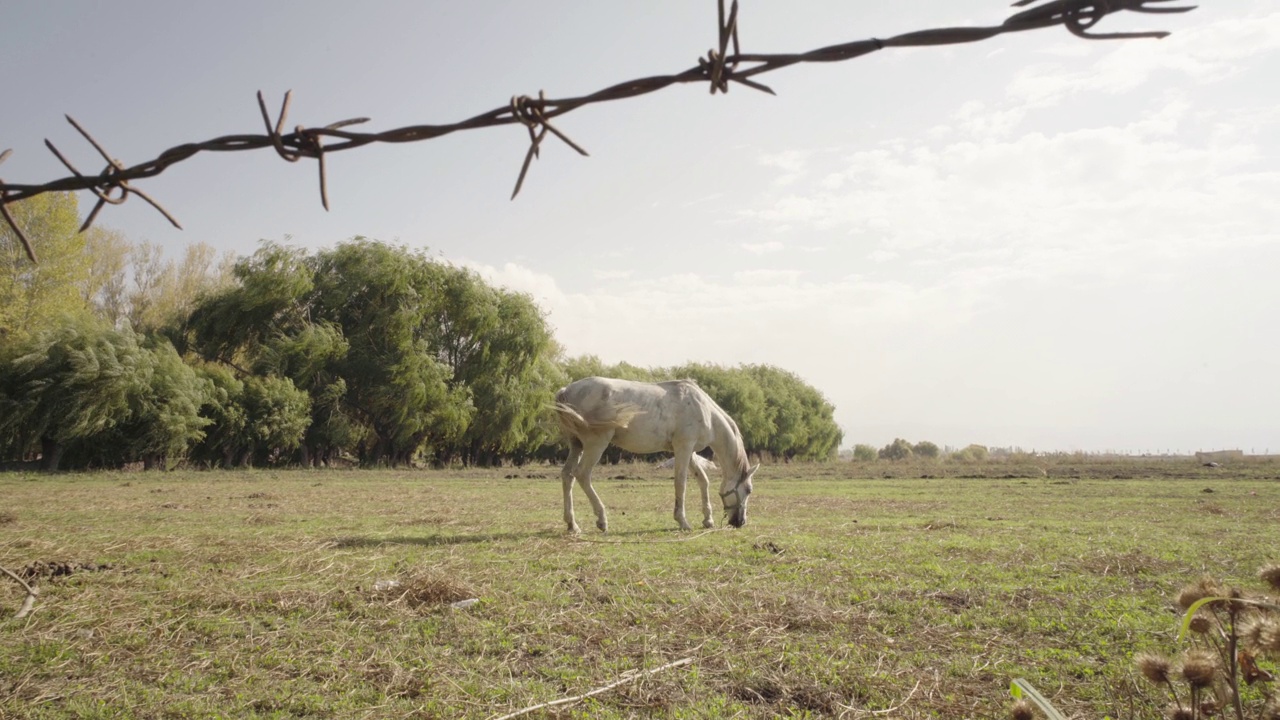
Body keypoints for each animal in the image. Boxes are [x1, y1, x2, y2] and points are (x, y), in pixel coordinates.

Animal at [552, 379, 757, 530]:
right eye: (748, 490)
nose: (740, 522)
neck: (704, 410)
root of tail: (566, 390)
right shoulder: (684, 447)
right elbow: (680, 482)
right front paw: (682, 521)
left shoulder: (687, 451)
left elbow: (703, 480)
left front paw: (708, 520)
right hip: (596, 444)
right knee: (582, 475)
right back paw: (602, 520)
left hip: (577, 446)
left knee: (567, 476)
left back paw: (572, 525)